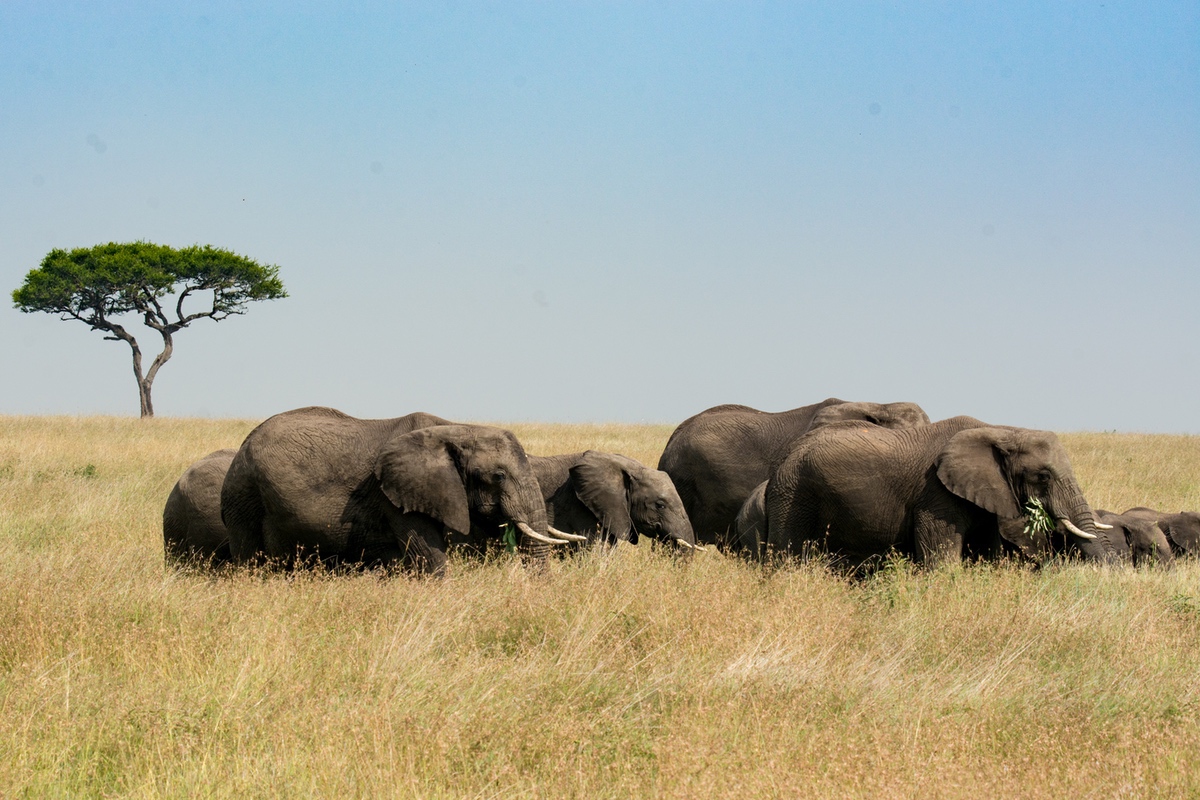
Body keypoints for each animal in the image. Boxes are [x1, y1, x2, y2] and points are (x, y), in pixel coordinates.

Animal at [221, 407, 573, 576]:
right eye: (498, 476)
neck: (457, 429)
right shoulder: (396, 493)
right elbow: (428, 554)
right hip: (243, 494)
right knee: (250, 558)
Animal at [764, 417, 1112, 569]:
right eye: (1043, 476)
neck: (1001, 429)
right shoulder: (936, 495)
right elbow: (941, 559)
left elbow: (987, 553)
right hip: (793, 491)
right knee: (787, 553)